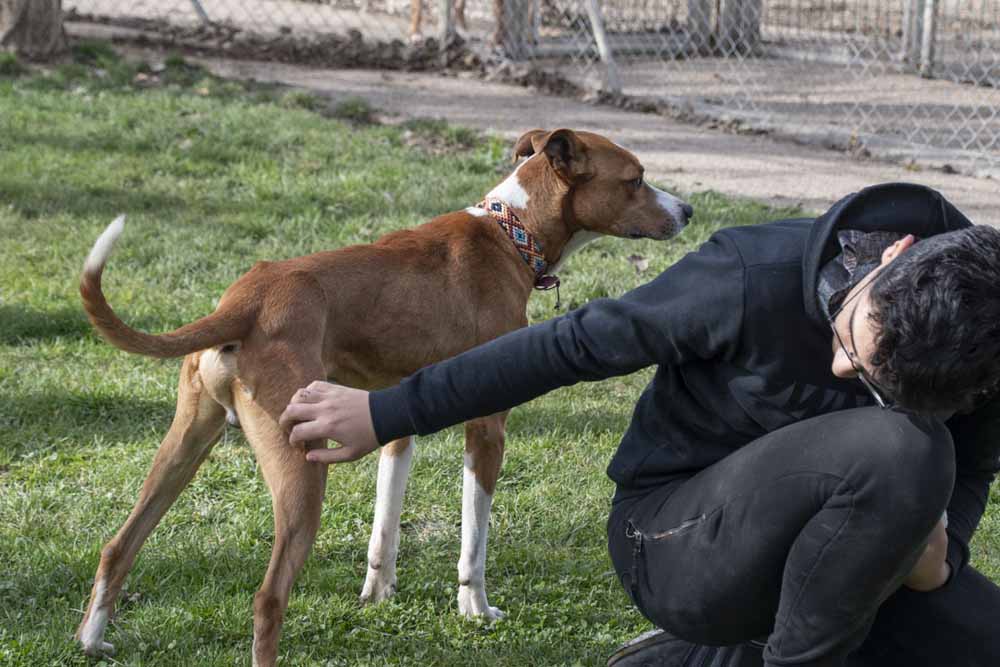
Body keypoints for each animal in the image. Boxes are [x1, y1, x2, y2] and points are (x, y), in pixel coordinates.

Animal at [75, 128, 693, 666]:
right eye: (636, 179)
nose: (688, 211)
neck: (510, 231)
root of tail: (245, 300)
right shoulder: (486, 428)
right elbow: (474, 536)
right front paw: (475, 607)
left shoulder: (396, 419)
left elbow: (385, 526)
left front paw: (377, 596)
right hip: (301, 474)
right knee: (268, 598)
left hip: (184, 445)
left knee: (118, 546)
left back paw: (92, 641)